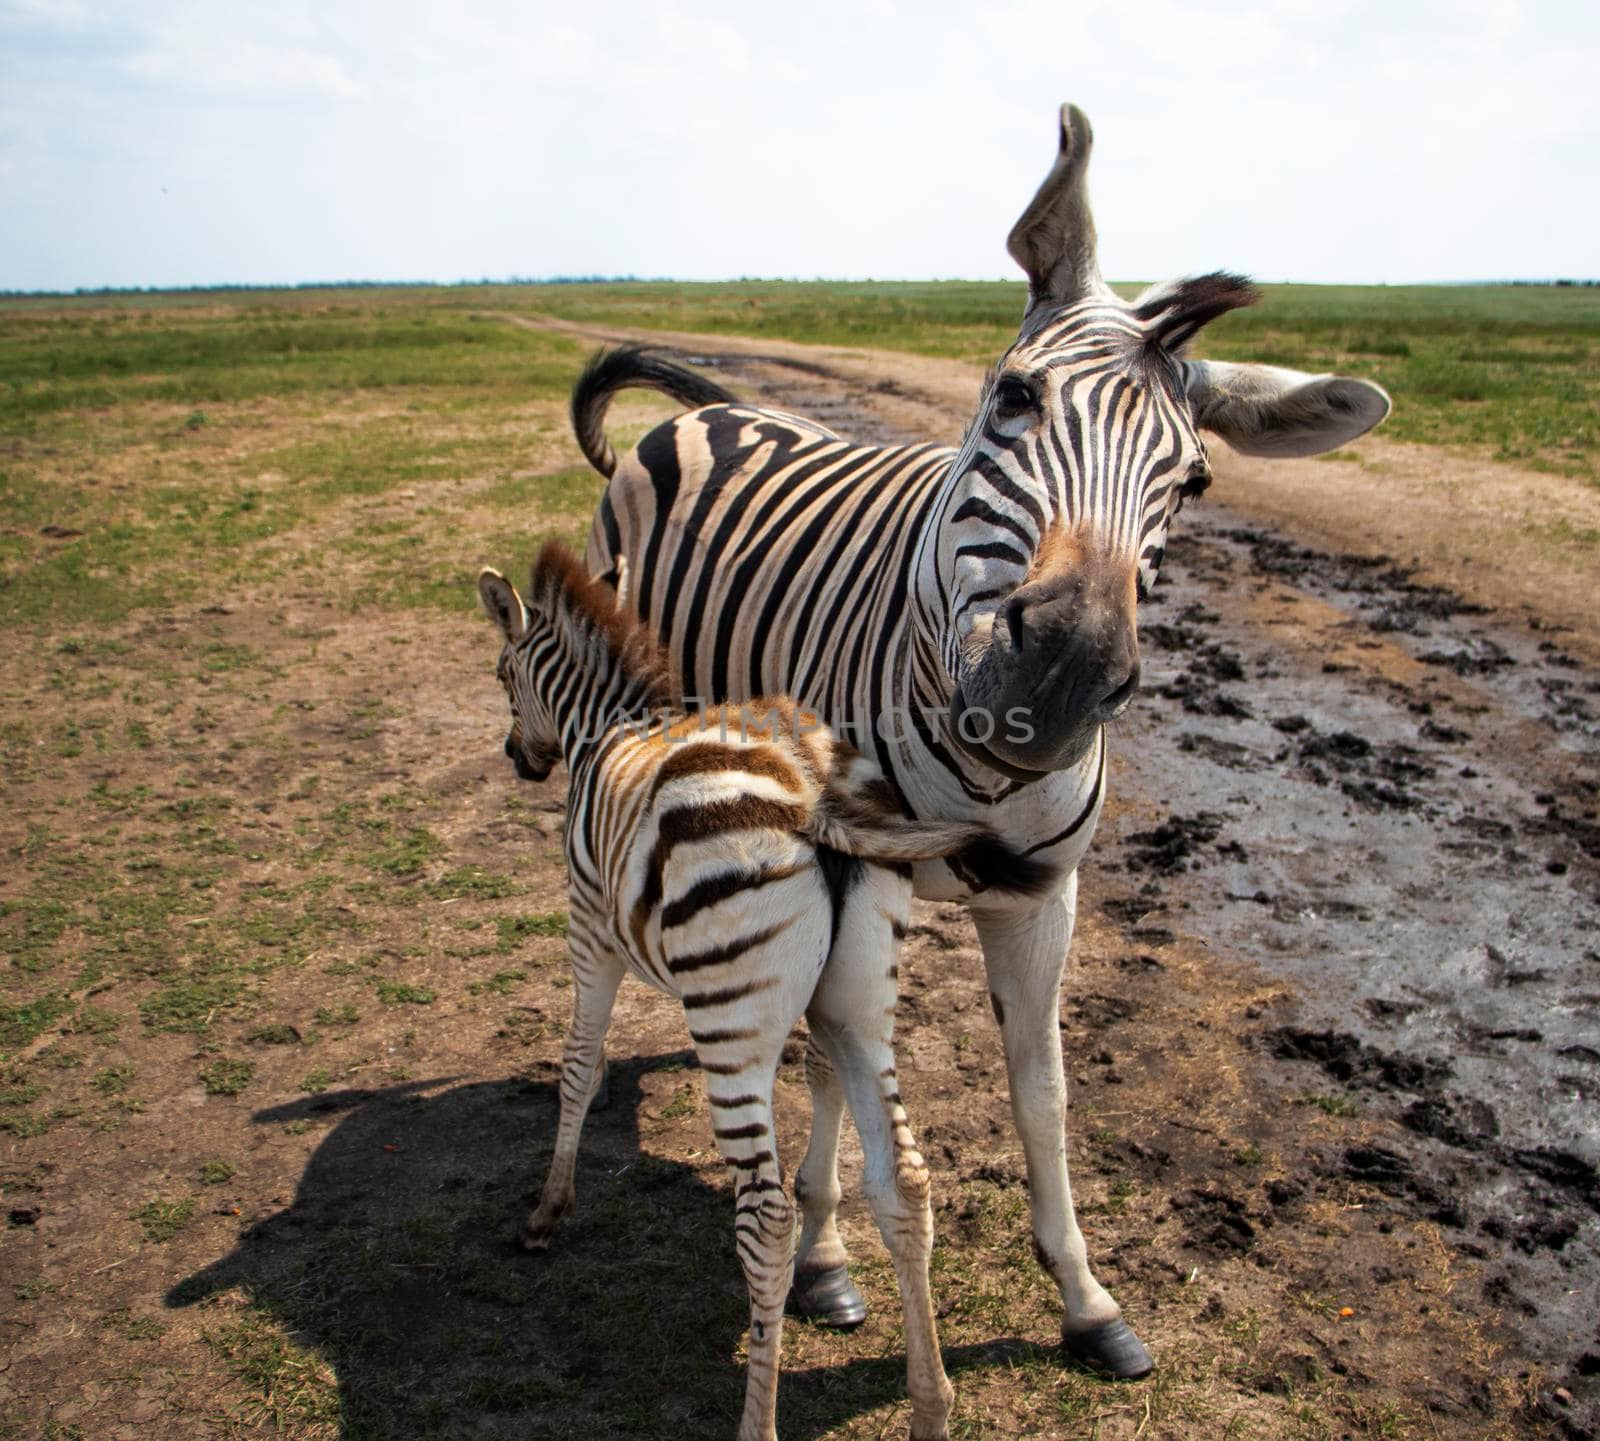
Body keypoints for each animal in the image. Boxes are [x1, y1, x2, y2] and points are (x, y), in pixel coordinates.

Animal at [473, 540, 1049, 1439]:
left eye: (503, 673)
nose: (516, 758)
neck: (608, 727)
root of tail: (815, 787)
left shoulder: (588, 929)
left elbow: (577, 1065)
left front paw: (548, 1208)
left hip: (732, 1025)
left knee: (767, 1217)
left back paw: (759, 1420)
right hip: (861, 1005)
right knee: (904, 1182)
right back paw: (931, 1404)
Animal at [572, 103, 1388, 1369]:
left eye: (1195, 480)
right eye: (1012, 397)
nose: (1057, 676)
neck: (977, 761)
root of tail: (715, 407)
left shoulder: (1044, 895)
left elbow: (1040, 1088)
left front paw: (1087, 1297)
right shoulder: (851, 873)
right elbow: (829, 1063)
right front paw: (824, 1256)